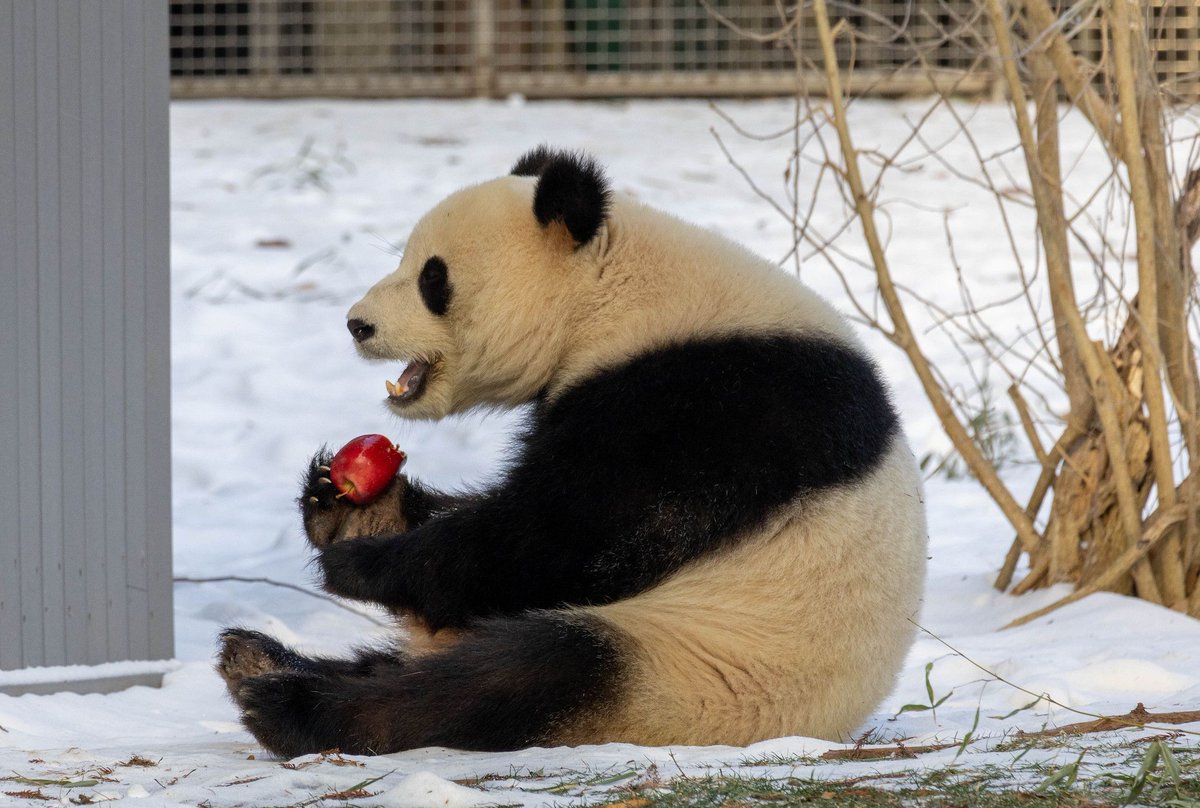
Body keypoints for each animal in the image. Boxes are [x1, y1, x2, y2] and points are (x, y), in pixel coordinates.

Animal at [216, 146, 928, 758]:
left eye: (432, 278)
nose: (357, 325)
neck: (608, 290)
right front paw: (352, 511)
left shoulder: (709, 404)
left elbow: (572, 536)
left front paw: (362, 562)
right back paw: (257, 661)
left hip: (699, 667)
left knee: (522, 676)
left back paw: (290, 705)